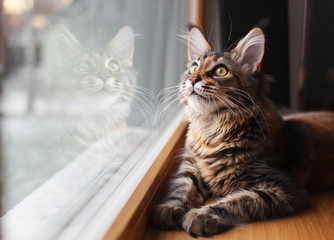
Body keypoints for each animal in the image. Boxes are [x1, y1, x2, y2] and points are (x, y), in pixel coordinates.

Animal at [152, 25, 334, 237]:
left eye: (220, 71)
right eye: (194, 68)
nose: (193, 78)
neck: (210, 130)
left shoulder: (284, 188)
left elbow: (238, 201)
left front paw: (201, 215)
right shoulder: (191, 165)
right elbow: (182, 185)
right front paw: (170, 207)